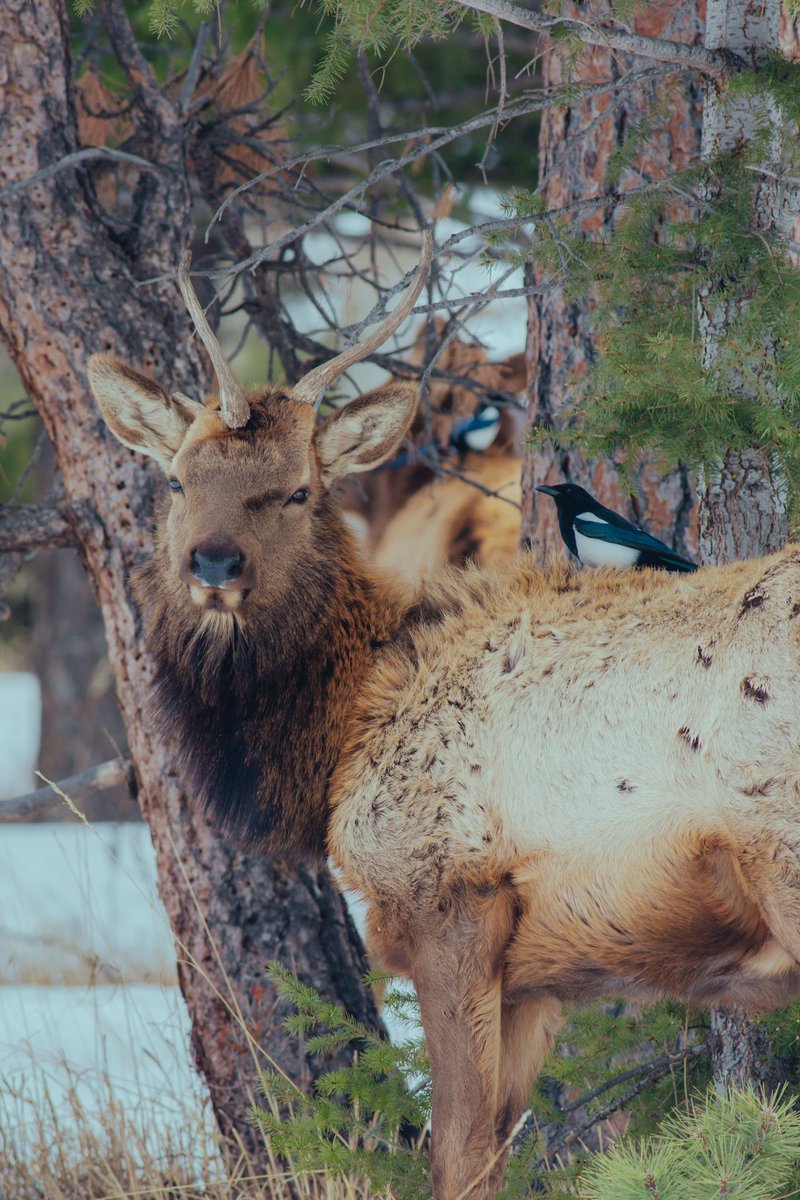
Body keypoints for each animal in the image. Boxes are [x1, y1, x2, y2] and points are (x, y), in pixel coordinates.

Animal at [88, 234, 800, 1200]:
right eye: (174, 481)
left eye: (301, 489)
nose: (214, 562)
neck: (344, 726)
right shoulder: (537, 976)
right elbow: (493, 1152)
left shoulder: (448, 899)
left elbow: (454, 1154)